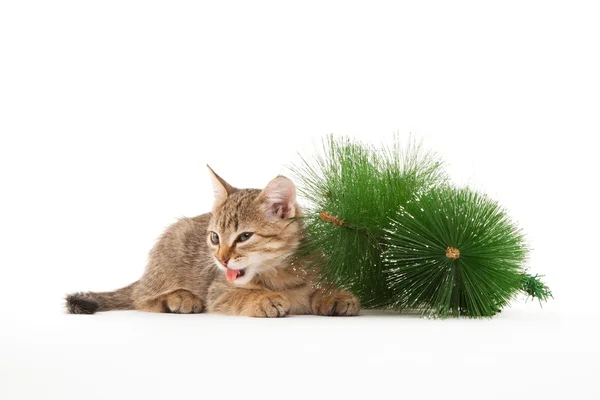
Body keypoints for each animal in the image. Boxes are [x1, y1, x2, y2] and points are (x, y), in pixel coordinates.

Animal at [65, 167, 358, 318]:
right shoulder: (218, 290)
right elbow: (238, 293)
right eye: (215, 237)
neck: (279, 274)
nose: (221, 258)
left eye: (244, 237)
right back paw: (179, 298)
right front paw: (262, 299)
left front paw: (336, 295)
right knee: (141, 297)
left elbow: (319, 288)